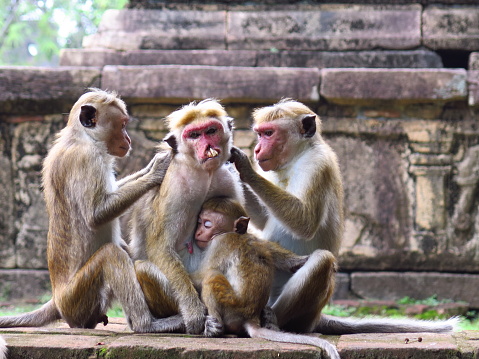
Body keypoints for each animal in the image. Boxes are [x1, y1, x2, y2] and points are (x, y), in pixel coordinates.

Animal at [0, 88, 179, 334]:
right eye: (122, 125)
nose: (128, 139)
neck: (82, 137)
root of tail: (57, 299)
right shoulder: (87, 159)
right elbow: (96, 215)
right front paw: (156, 172)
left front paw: (150, 167)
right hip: (77, 298)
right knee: (112, 255)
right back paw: (146, 325)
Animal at [128, 98, 244, 334]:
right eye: (194, 135)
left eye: (211, 131)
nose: (207, 146)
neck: (202, 173)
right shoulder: (175, 187)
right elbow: (161, 246)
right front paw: (194, 315)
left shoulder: (227, 179)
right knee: (144, 268)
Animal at [189, 197, 340, 359]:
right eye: (199, 223)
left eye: (206, 224)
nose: (198, 232)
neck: (234, 233)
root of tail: (251, 318)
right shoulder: (252, 238)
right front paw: (300, 261)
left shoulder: (220, 243)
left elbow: (202, 274)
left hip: (231, 307)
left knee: (211, 278)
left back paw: (215, 330)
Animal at [231, 98, 460, 334]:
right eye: (260, 134)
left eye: (269, 133)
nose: (257, 148)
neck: (296, 158)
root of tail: (317, 317)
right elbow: (262, 219)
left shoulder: (317, 166)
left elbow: (305, 221)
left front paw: (245, 168)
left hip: (306, 314)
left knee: (321, 261)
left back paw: (273, 321)